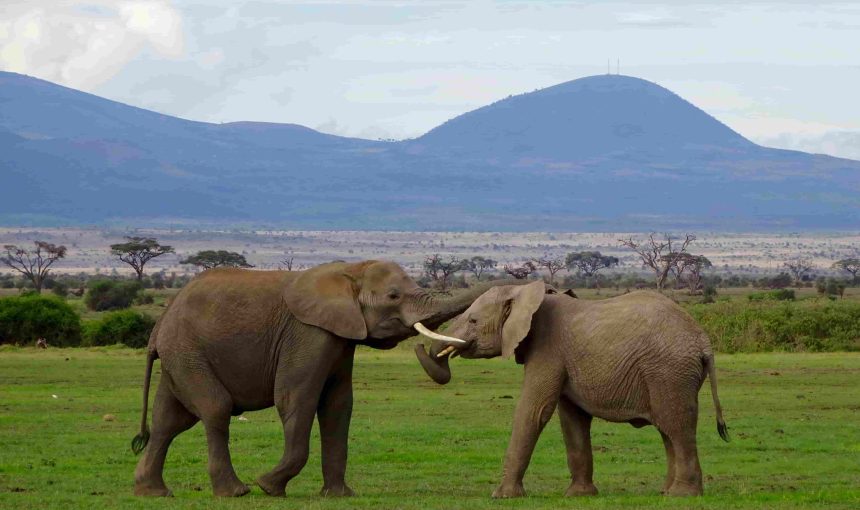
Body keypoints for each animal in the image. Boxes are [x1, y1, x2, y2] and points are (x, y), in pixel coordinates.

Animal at [131, 260, 520, 496]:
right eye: (393, 295)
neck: (348, 270)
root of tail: (159, 326)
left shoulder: (341, 338)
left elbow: (338, 406)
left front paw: (339, 495)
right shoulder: (308, 333)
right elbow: (297, 399)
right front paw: (269, 487)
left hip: (181, 355)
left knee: (168, 420)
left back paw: (153, 492)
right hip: (187, 349)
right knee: (215, 408)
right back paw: (236, 491)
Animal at [414, 280, 724, 496]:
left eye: (473, 321)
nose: (418, 345)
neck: (527, 293)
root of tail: (703, 341)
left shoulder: (547, 349)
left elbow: (534, 411)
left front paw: (502, 496)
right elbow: (572, 419)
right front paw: (579, 495)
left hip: (669, 371)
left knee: (676, 426)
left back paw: (682, 494)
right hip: (668, 374)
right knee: (667, 429)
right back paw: (666, 491)